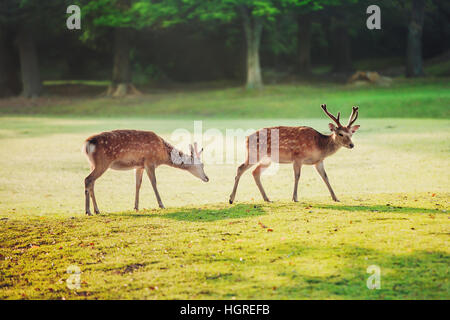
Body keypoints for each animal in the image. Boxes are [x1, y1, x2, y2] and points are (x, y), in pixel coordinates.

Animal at [230, 104, 360, 204]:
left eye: (351, 133)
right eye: (340, 134)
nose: (351, 145)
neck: (319, 146)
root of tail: (246, 138)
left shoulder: (318, 161)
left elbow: (325, 177)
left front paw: (335, 198)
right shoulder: (298, 157)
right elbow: (297, 176)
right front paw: (294, 198)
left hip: (267, 160)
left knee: (255, 172)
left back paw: (267, 198)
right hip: (254, 153)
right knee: (240, 168)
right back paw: (231, 199)